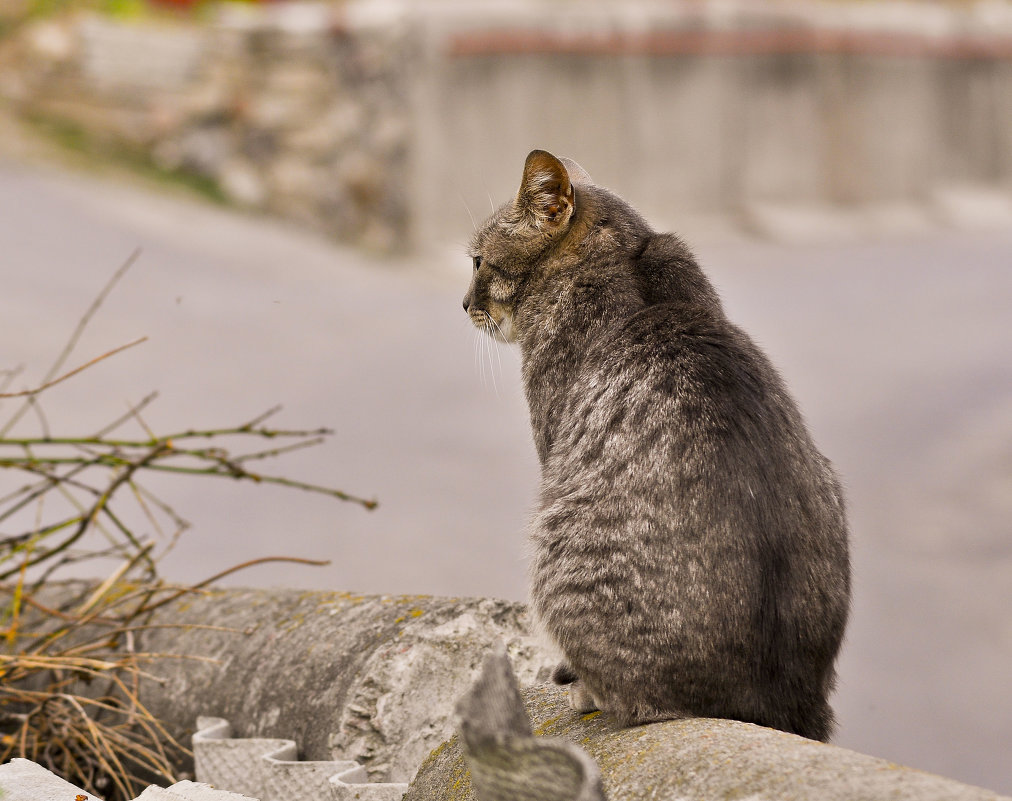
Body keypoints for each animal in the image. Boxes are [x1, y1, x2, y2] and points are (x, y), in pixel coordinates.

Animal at [463, 148, 850, 740]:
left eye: (478, 262)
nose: (464, 304)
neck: (627, 259)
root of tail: (780, 703)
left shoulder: (552, 441)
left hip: (555, 546)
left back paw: (586, 690)